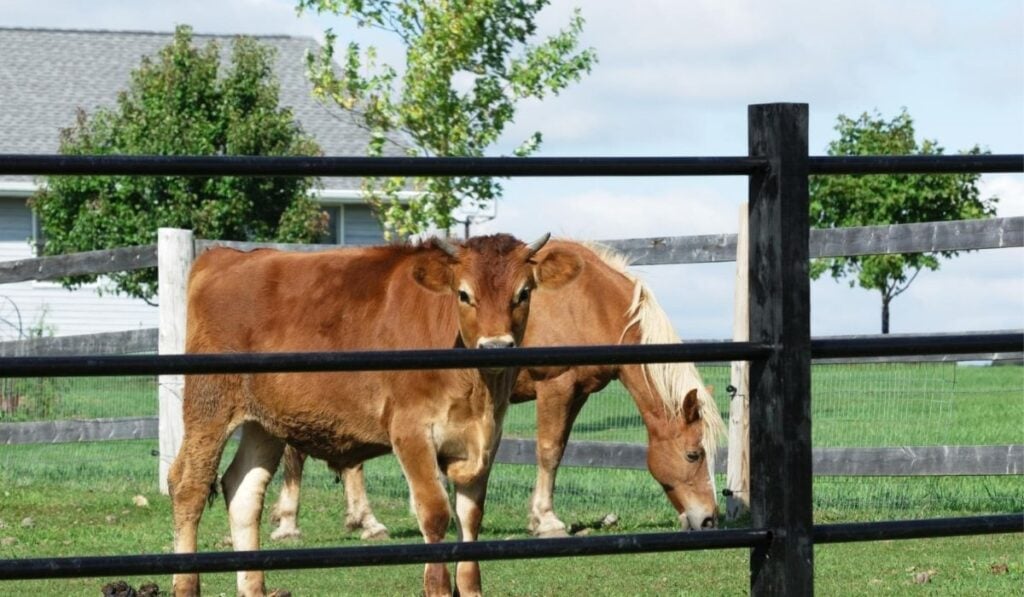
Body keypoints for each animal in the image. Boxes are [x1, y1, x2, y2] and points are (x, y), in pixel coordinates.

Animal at [167, 233, 582, 597]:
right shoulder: (411, 431)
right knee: (188, 486)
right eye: (464, 294)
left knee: (243, 490)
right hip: (209, 405)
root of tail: (225, 256)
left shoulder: (484, 440)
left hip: (263, 423)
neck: (478, 391)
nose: (496, 345)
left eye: (523, 293)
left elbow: (470, 517)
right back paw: (185, 584)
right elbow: (434, 512)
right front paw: (437, 586)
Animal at [268, 239, 725, 541]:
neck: (589, 303)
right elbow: (550, 451)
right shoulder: (556, 387)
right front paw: (546, 519)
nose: (709, 520)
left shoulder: (576, 392)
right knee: (300, 453)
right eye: (694, 454)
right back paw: (294, 523)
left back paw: (363, 521)